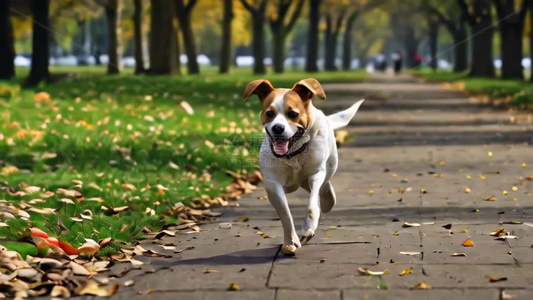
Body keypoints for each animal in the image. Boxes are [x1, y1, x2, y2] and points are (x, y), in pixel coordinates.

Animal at [243, 78, 364, 254]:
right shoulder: (273, 184)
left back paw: (327, 202)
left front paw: (308, 226)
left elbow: (312, 202)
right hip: (293, 185)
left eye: (293, 114)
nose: (277, 128)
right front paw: (290, 242)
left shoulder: (315, 174)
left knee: (324, 187)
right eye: (269, 113)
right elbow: (285, 214)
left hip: (329, 166)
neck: (293, 154)